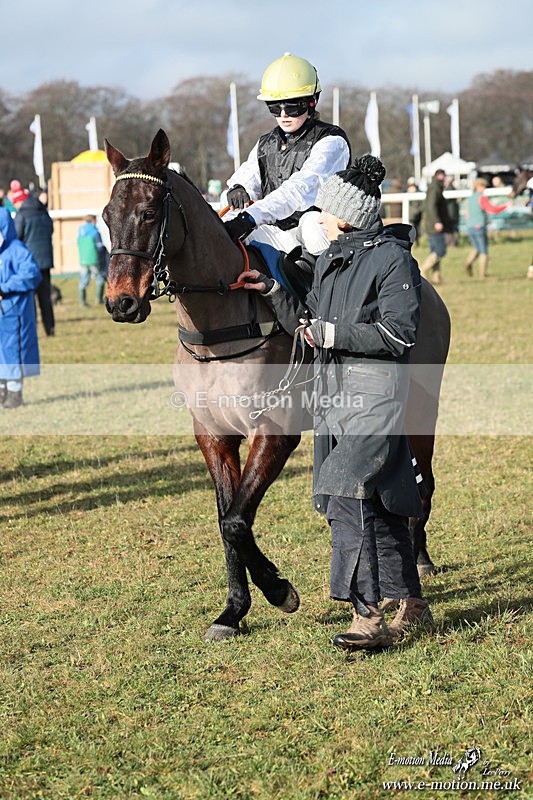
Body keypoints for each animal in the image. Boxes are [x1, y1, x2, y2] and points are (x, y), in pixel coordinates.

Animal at [102, 129, 450, 640]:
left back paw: (418, 564)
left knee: (421, 483)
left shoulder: (275, 432)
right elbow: (226, 518)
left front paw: (280, 590)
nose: (121, 303)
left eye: (149, 211)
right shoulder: (213, 435)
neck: (222, 323)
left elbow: (236, 521)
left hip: (421, 410)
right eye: (108, 215)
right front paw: (233, 610)